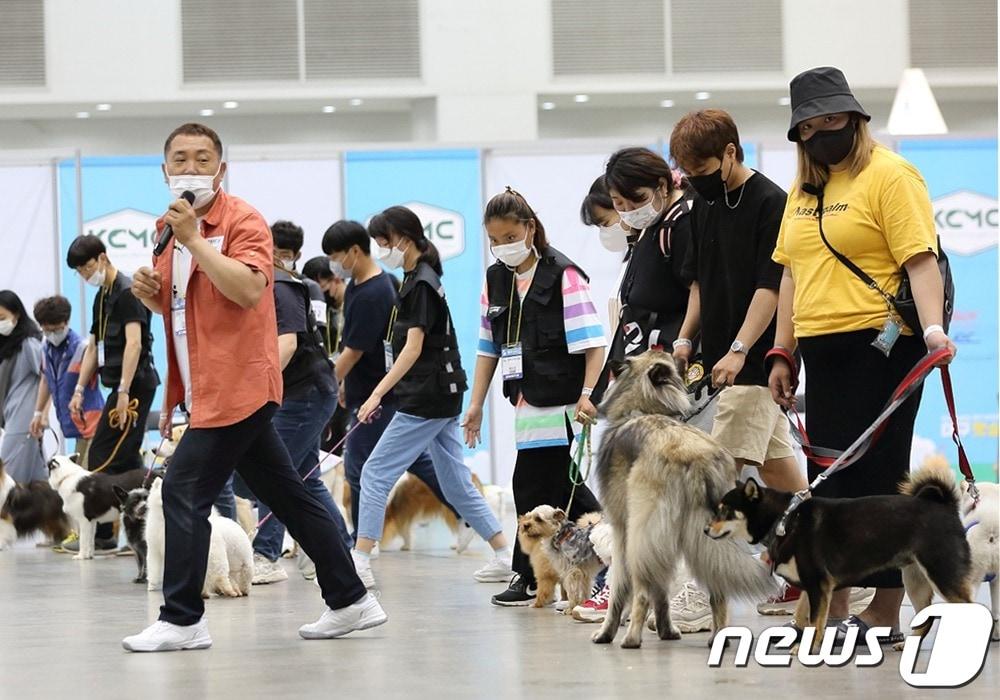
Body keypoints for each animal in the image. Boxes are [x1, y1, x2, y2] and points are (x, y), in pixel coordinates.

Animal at [708, 462, 972, 652]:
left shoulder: (818, 584)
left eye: (725, 511)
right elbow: (808, 617)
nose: (705, 530)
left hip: (942, 575)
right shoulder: (814, 587)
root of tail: (945, 507)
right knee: (926, 619)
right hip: (916, 581)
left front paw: (806, 650)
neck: (785, 519)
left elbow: (815, 622)